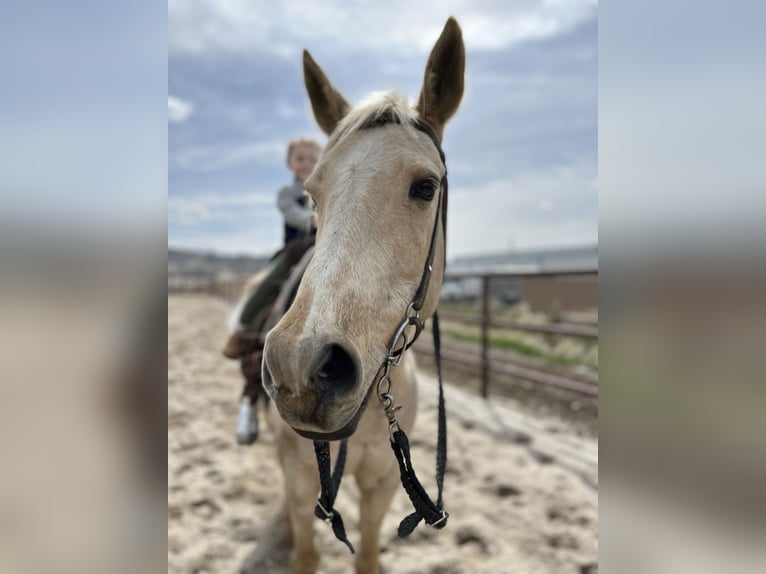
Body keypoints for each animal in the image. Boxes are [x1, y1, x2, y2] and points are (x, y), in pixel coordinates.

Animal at [260, 18, 464, 574]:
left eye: (426, 186)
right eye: (312, 195)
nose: (301, 368)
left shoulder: (382, 485)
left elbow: (368, 555)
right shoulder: (300, 475)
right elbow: (305, 552)